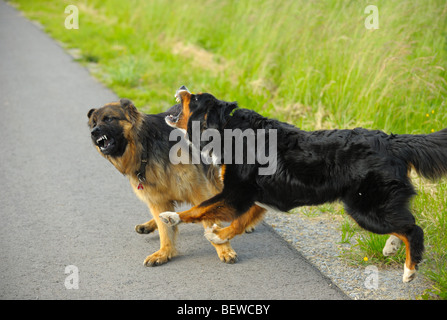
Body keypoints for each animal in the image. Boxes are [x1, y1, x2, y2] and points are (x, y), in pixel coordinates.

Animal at [88, 99, 242, 266]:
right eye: (93, 123)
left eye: (109, 119)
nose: (93, 132)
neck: (145, 148)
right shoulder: (157, 200)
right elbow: (165, 231)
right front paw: (164, 253)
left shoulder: (199, 192)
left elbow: (210, 220)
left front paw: (224, 249)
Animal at [161, 86, 447, 282]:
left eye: (194, 98)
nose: (182, 87)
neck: (225, 128)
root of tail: (391, 140)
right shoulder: (256, 197)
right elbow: (239, 222)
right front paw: (218, 236)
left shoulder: (237, 192)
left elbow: (200, 208)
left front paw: (171, 217)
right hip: (377, 204)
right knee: (405, 222)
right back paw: (392, 246)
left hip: (366, 208)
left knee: (413, 228)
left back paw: (409, 270)